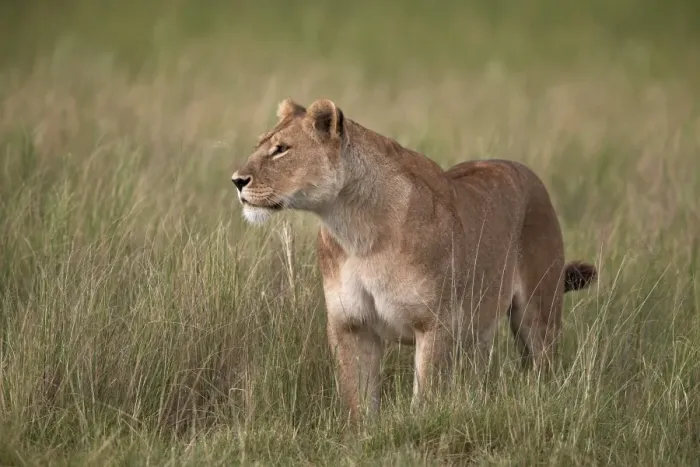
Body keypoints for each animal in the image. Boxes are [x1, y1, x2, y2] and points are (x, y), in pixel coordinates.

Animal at [231, 98, 597, 423]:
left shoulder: (434, 323)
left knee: (543, 366)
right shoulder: (351, 325)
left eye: (281, 149)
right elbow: (356, 401)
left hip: (539, 314)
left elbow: (426, 397)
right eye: (260, 145)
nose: (237, 180)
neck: (354, 231)